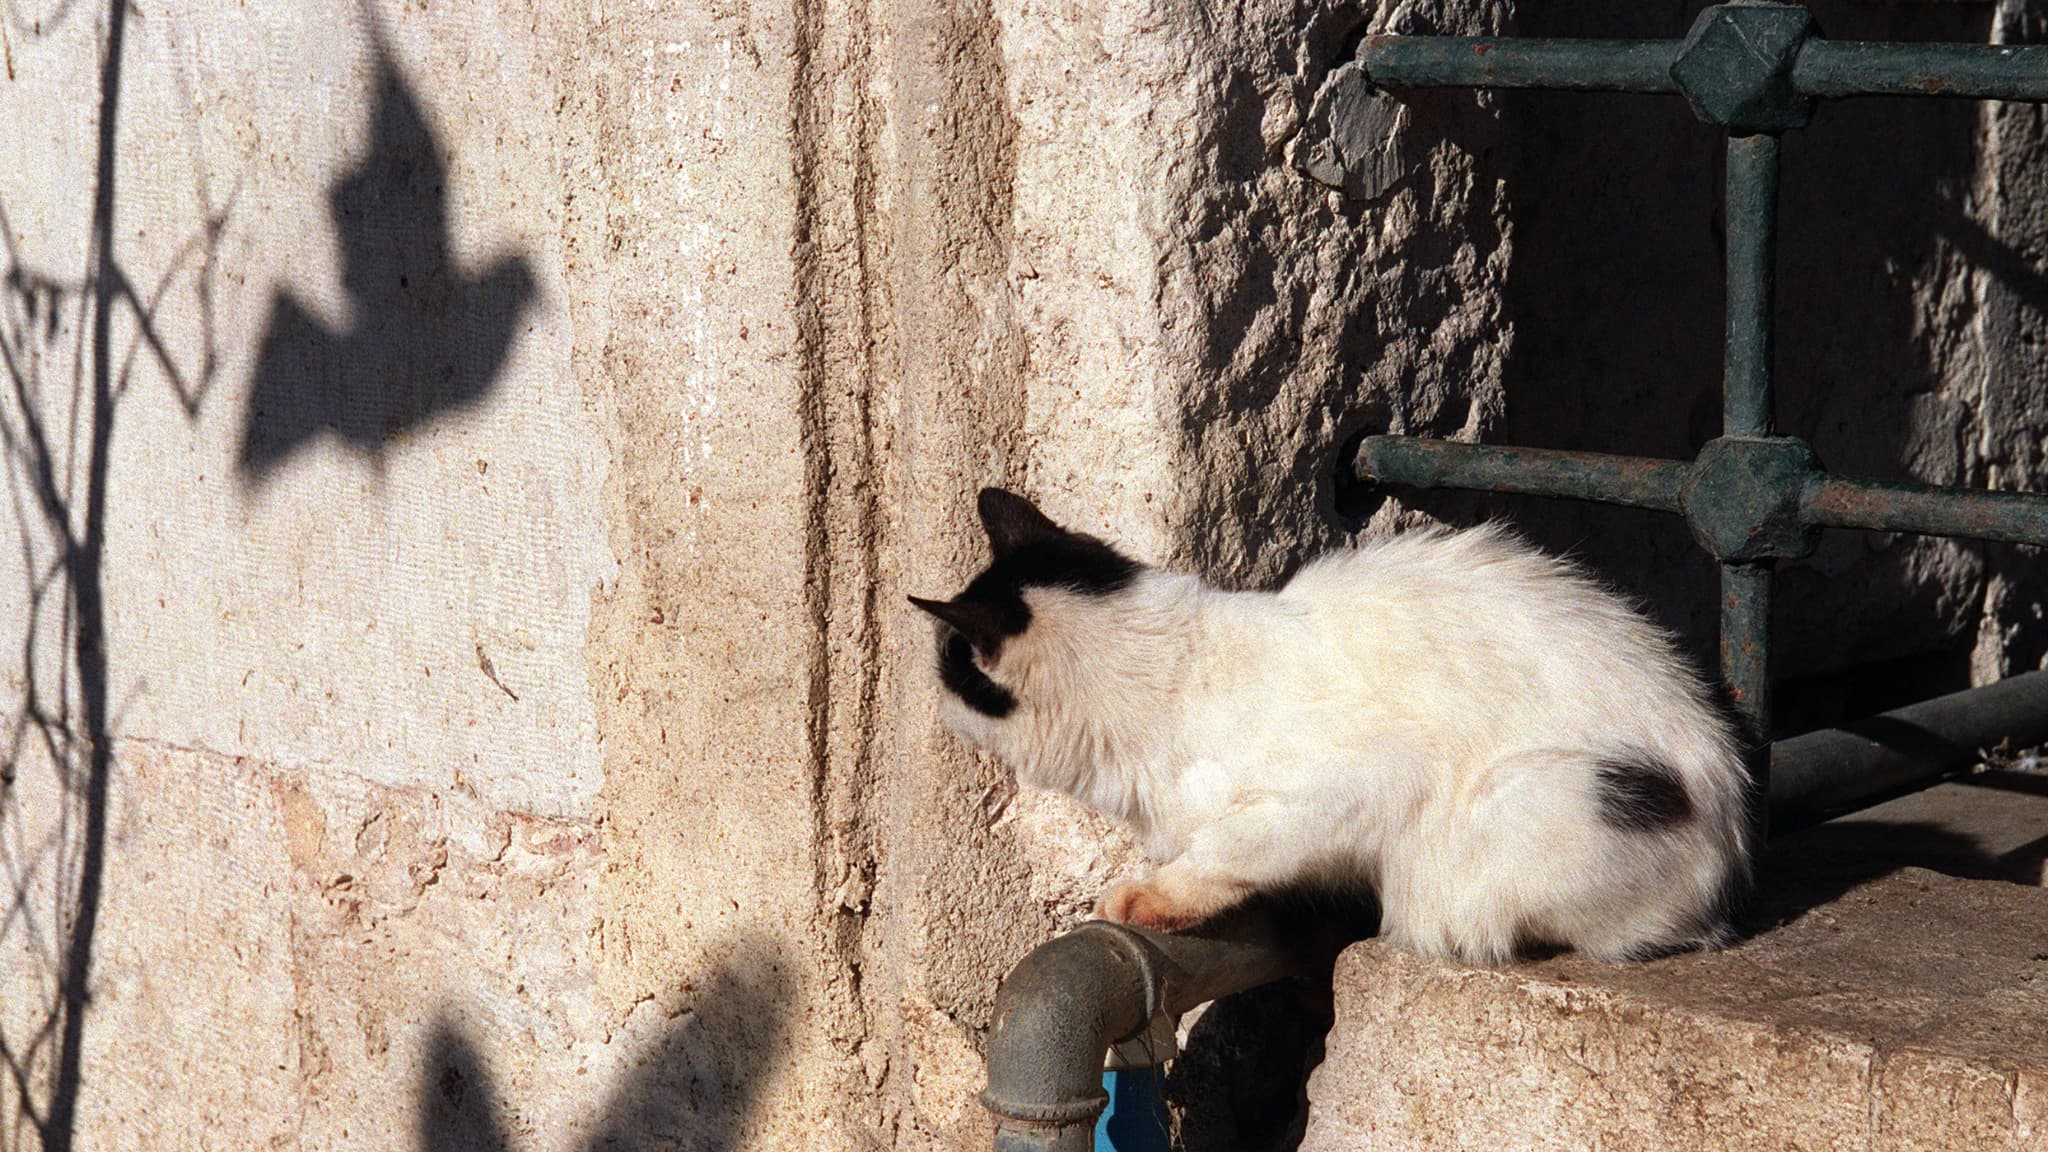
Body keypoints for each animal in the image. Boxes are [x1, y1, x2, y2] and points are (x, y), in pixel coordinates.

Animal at [921, 483, 1753, 959]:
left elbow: (1230, 847)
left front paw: (1156, 896)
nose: (930, 685)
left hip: (1531, 797)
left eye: (948, 663)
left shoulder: (1366, 778)